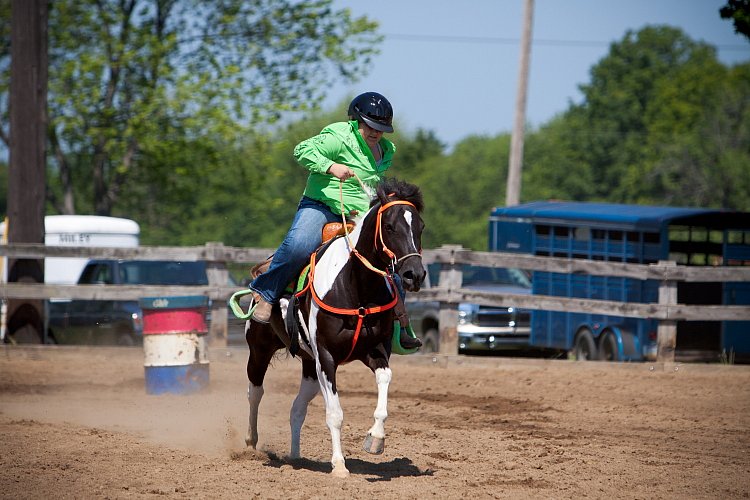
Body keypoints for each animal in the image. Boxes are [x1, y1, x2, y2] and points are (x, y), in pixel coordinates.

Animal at [244, 178, 426, 478]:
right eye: (389, 226)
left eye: (420, 227)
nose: (415, 274)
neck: (357, 287)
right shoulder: (327, 358)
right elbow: (335, 414)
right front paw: (339, 466)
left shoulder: (375, 352)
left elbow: (385, 382)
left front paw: (375, 439)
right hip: (259, 349)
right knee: (255, 392)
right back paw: (250, 443)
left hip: (309, 365)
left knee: (297, 408)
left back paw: (295, 456)